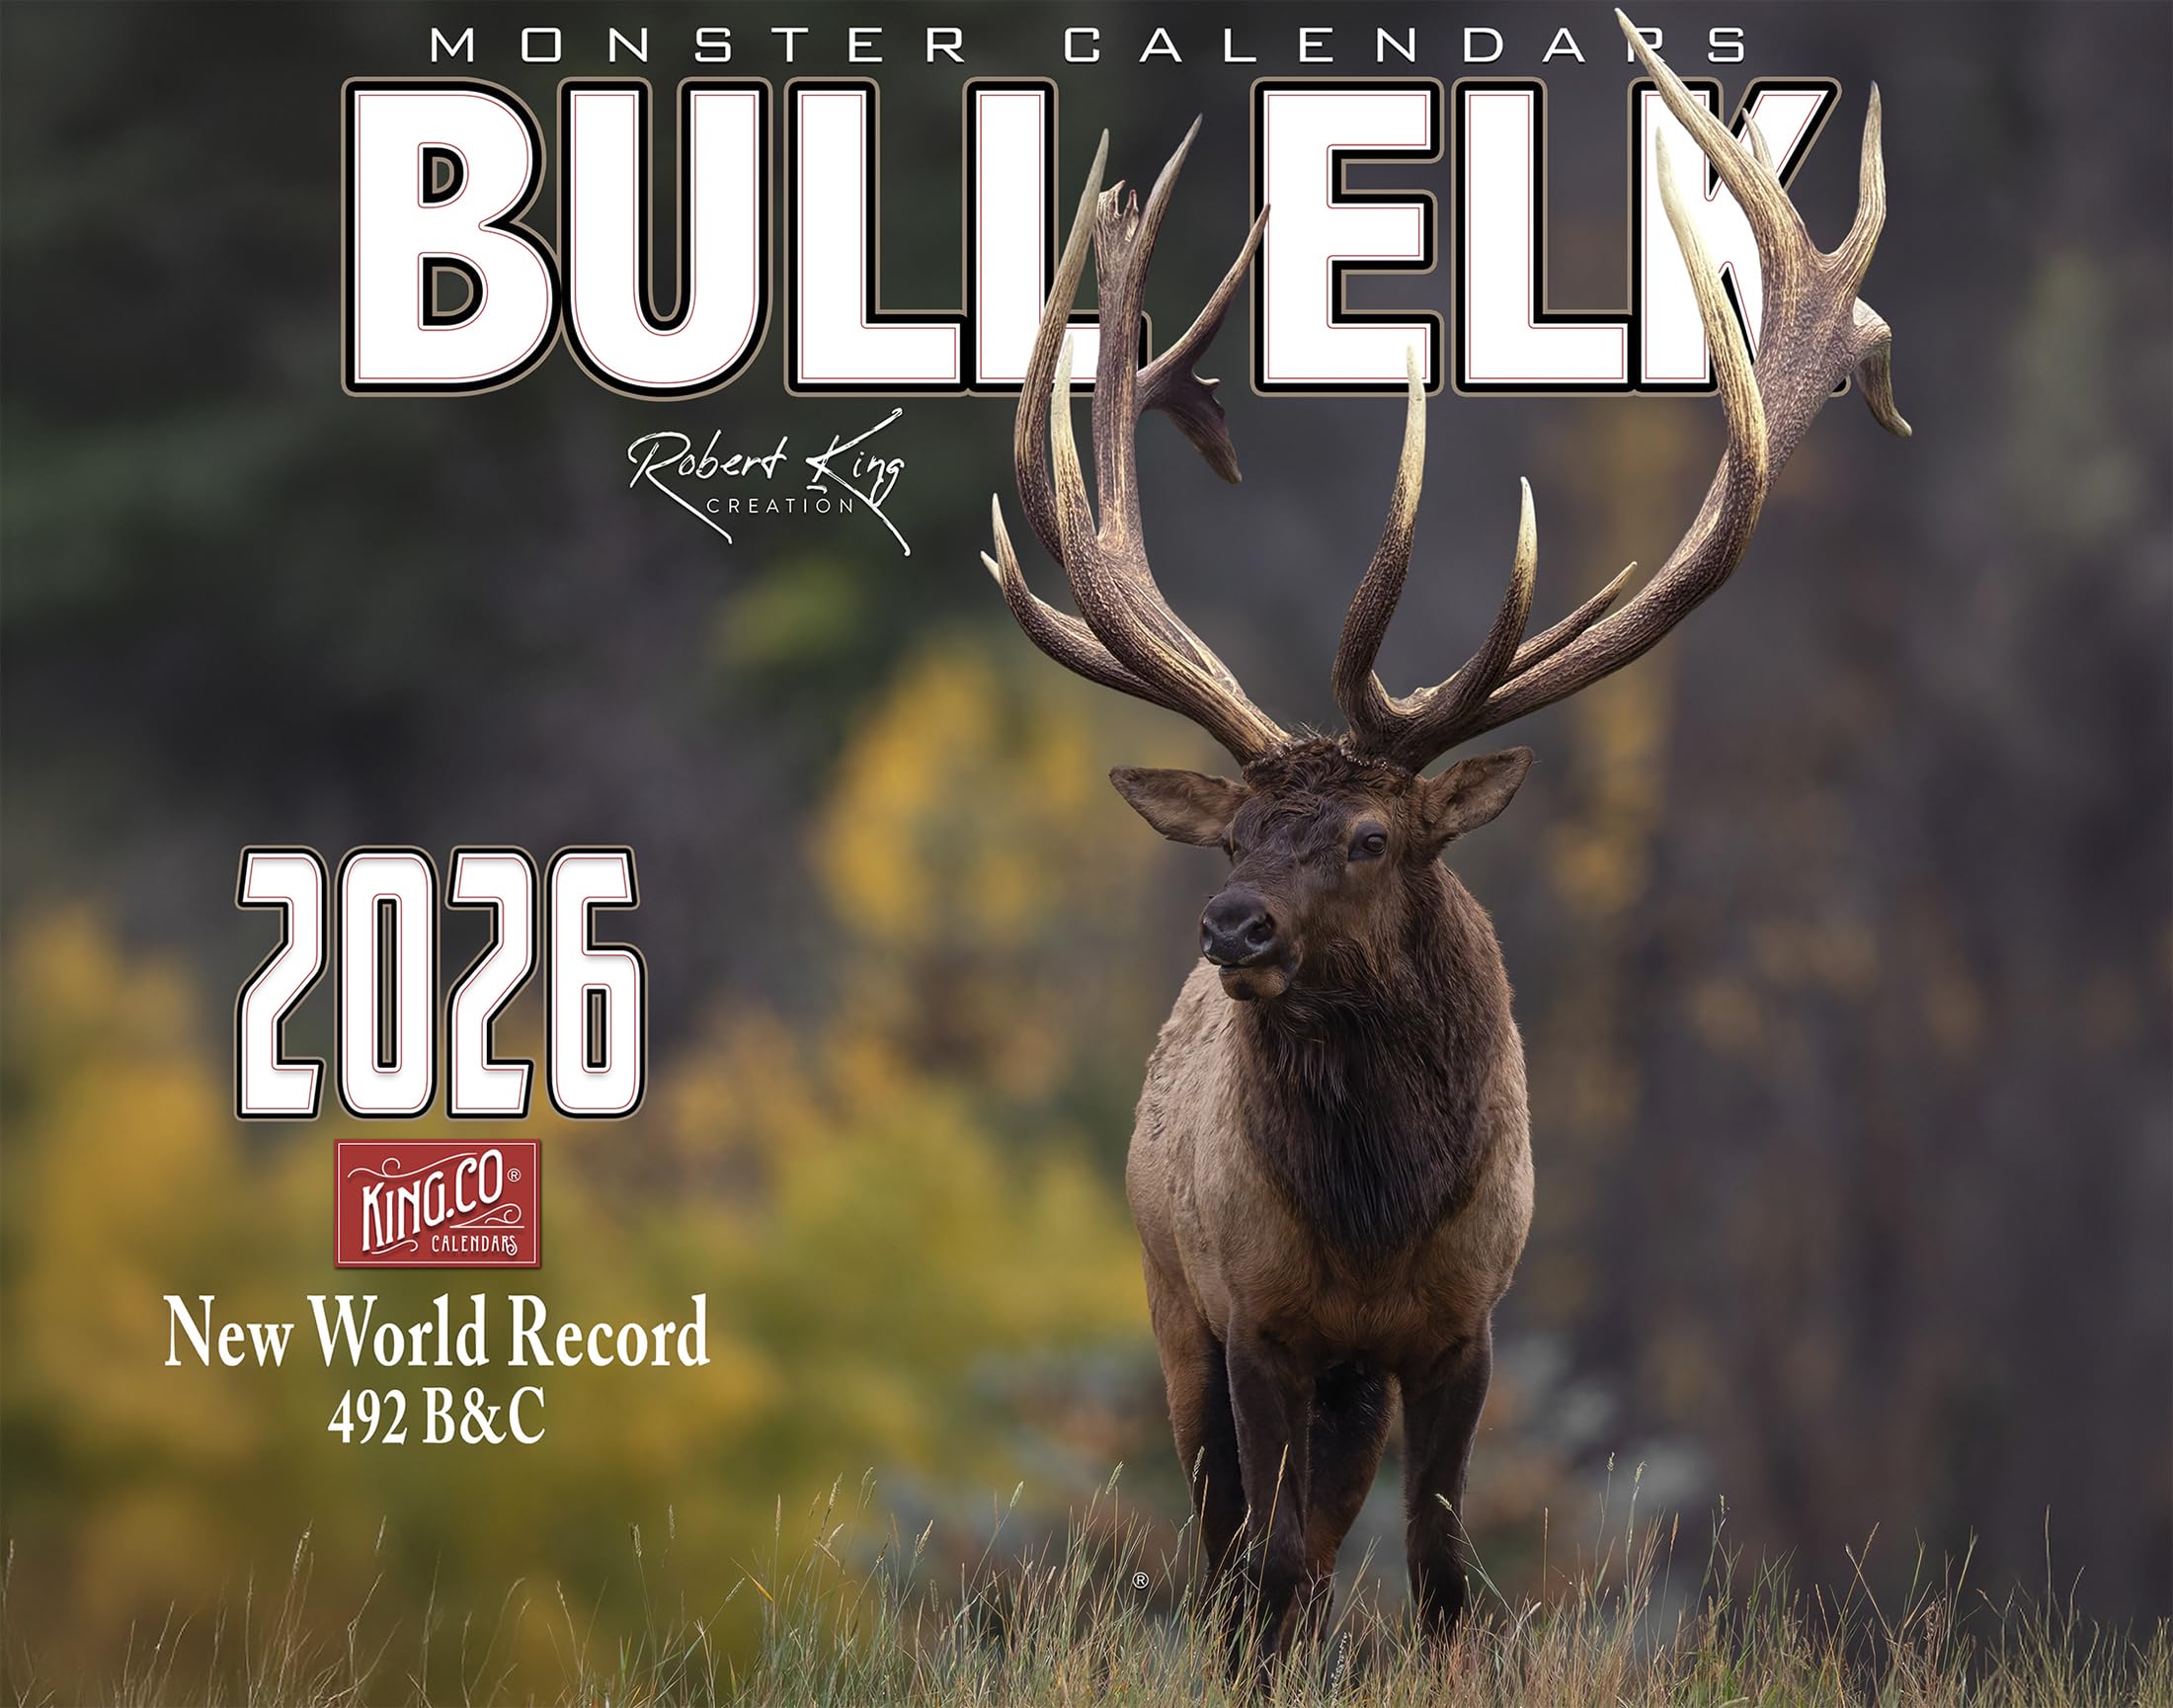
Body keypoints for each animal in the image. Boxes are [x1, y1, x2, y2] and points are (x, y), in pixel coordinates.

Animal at [977, 15, 1909, 1661]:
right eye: (1230, 840)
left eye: (1367, 837)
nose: (1231, 927)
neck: (1373, 1226)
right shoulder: (1255, 1317)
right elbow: (1263, 1564)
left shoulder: (1465, 1323)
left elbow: (1443, 1564)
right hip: (1168, 1300)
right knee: (1236, 1540)